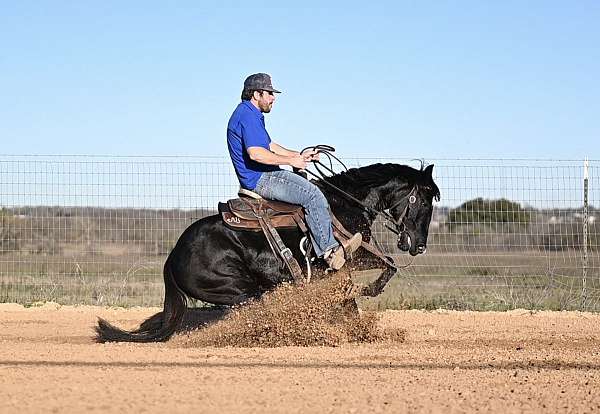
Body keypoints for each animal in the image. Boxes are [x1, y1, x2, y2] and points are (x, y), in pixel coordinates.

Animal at [95, 163, 440, 342]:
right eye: (424, 201)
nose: (419, 245)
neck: (344, 204)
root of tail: (171, 258)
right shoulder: (349, 259)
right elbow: (387, 267)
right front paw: (364, 301)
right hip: (239, 290)